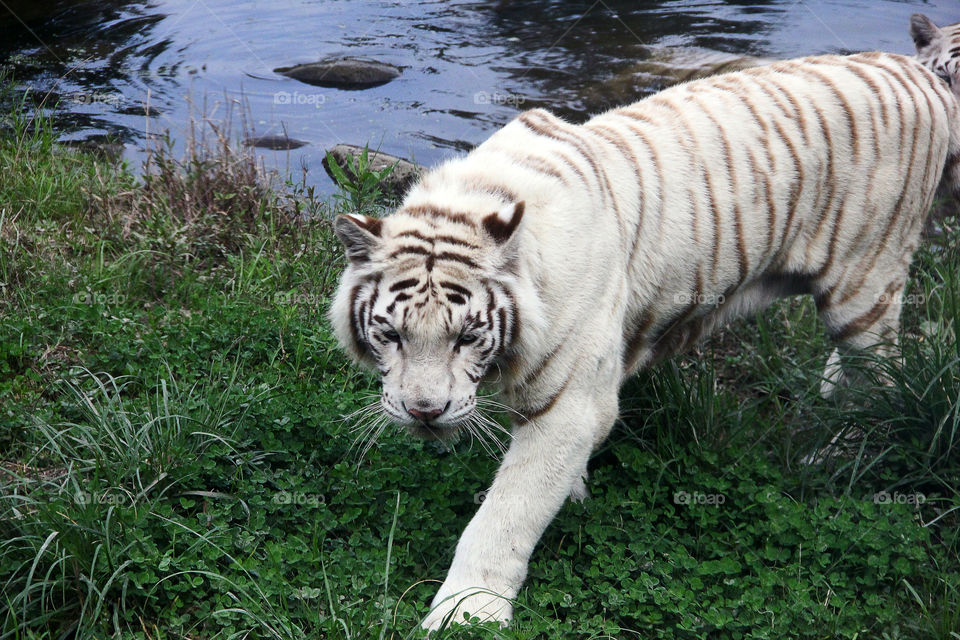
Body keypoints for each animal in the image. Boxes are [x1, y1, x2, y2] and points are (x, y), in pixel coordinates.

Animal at [328, 41, 960, 632]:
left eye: (465, 337)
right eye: (391, 334)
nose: (424, 412)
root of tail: (912, 68)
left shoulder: (569, 403)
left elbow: (507, 512)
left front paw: (466, 612)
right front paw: (574, 494)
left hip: (864, 281)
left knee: (880, 372)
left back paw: (846, 444)